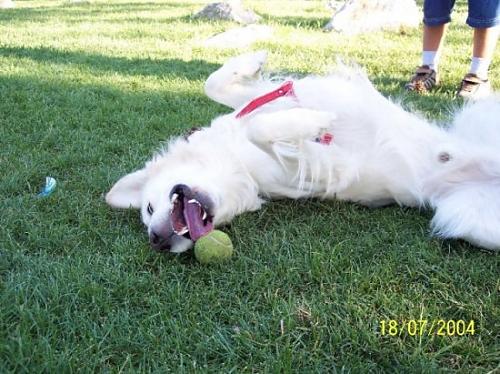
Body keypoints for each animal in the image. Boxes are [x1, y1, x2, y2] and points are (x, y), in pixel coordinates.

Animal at [105, 50, 500, 251]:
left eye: (148, 207)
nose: (156, 240)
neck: (236, 160)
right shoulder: (325, 172)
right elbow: (266, 130)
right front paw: (312, 123)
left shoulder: (261, 101)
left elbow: (215, 84)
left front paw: (254, 58)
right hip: (465, 219)